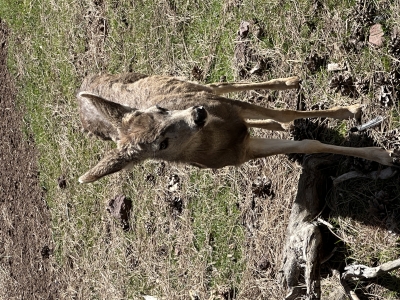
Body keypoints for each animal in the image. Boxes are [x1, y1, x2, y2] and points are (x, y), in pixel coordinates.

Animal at [76, 73, 396, 184]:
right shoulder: (243, 153)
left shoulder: (225, 107)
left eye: (161, 109)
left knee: (219, 84)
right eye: (161, 144)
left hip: (190, 85)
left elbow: (286, 112)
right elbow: (308, 145)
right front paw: (382, 155)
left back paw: (290, 82)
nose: (197, 114)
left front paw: (350, 111)